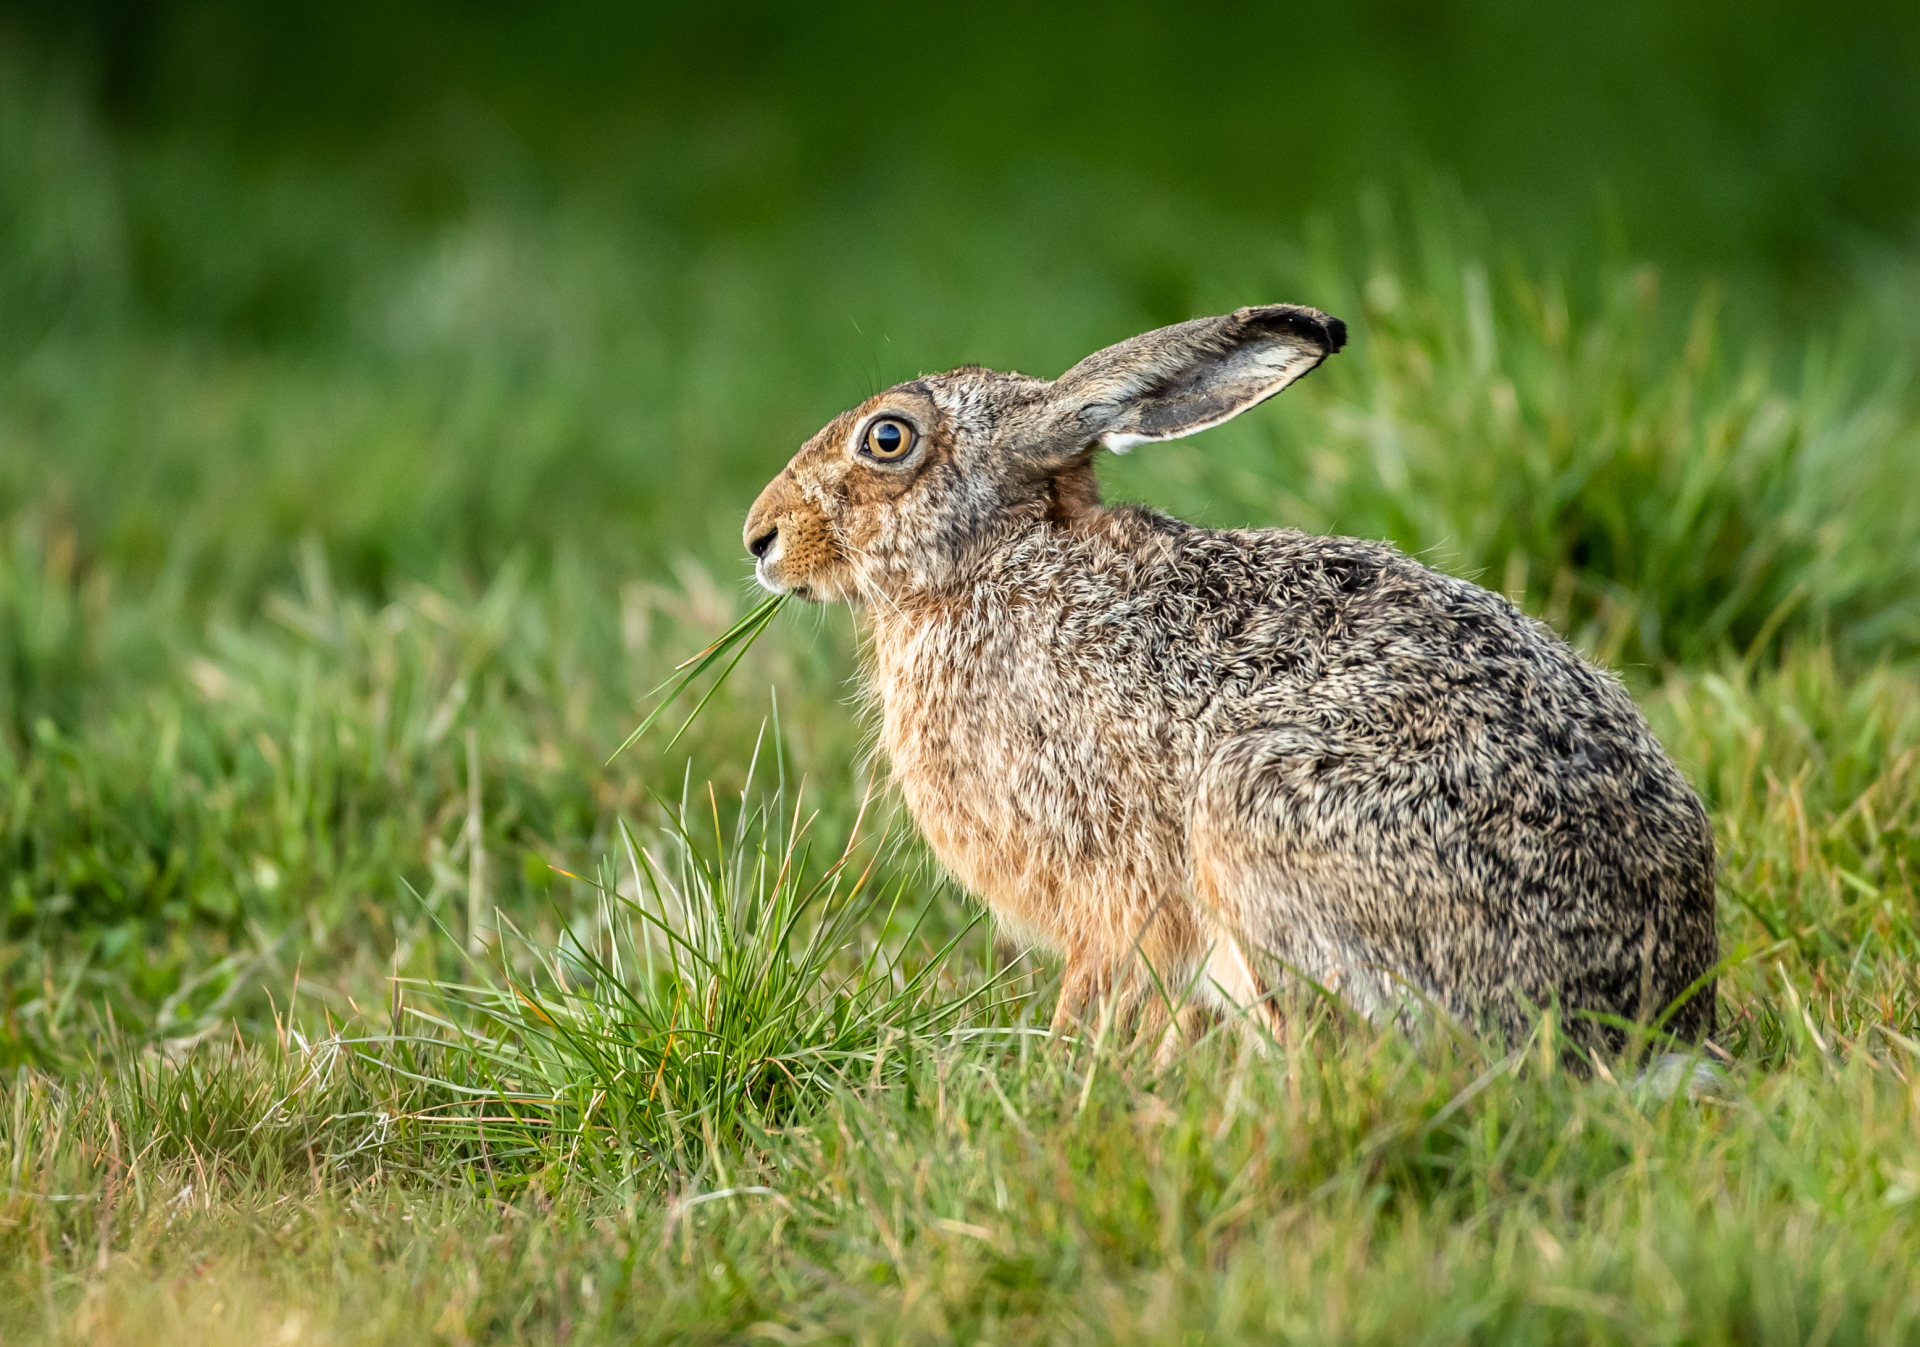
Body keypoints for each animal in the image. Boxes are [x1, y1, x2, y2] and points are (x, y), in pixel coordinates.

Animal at [742, 304, 1718, 1052]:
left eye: (888, 437)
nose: (760, 536)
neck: (990, 559)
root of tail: (1652, 1014)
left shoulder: (1112, 881)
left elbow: (1100, 978)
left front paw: (1061, 1066)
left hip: (1262, 815)